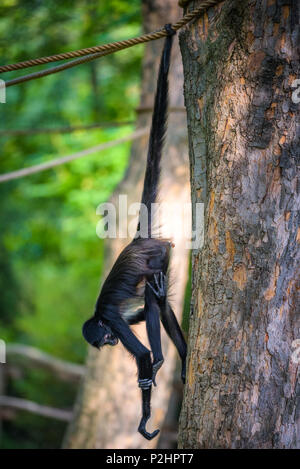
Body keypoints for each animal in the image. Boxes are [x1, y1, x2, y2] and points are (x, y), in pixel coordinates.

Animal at [82, 25, 188, 438]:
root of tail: (138, 240)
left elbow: (140, 352)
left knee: (156, 300)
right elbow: (143, 311)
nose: (110, 342)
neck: (99, 316)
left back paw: (159, 359)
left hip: (160, 254)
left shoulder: (111, 317)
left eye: (104, 338)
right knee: (160, 303)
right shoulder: (120, 318)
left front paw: (143, 420)